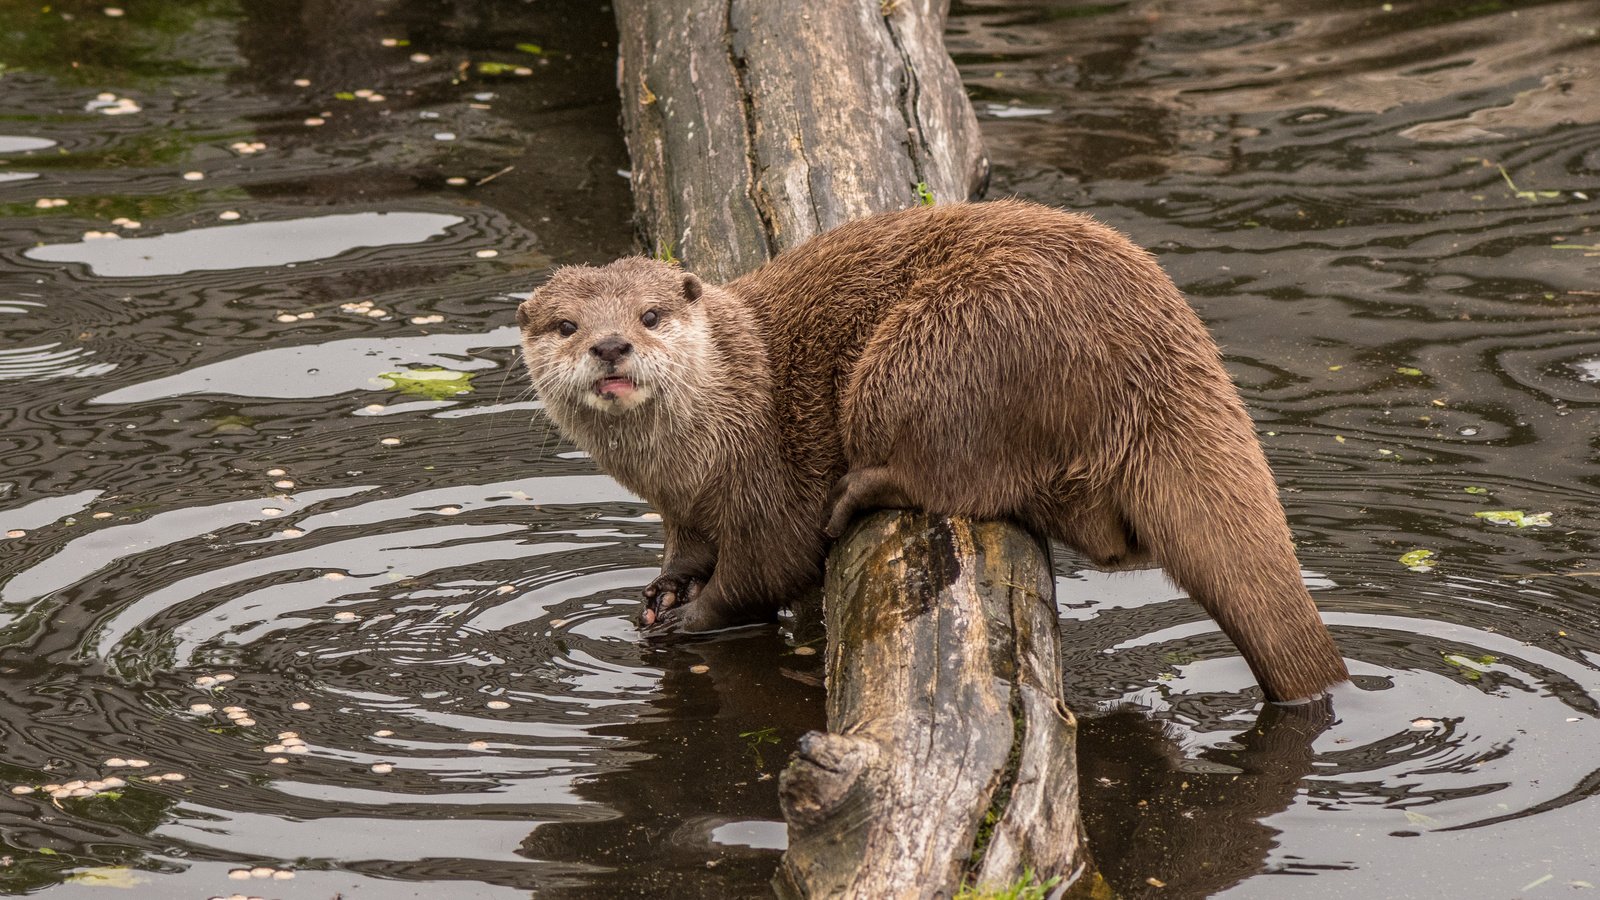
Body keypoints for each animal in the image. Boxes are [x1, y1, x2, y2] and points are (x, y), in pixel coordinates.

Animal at [521, 197, 1350, 701]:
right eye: (565, 325)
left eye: (651, 314)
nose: (610, 344)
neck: (706, 440)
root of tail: (1155, 345)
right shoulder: (683, 505)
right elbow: (687, 548)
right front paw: (662, 590)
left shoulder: (765, 476)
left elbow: (768, 566)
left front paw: (689, 620)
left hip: (942, 345)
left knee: (964, 478)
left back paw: (861, 493)